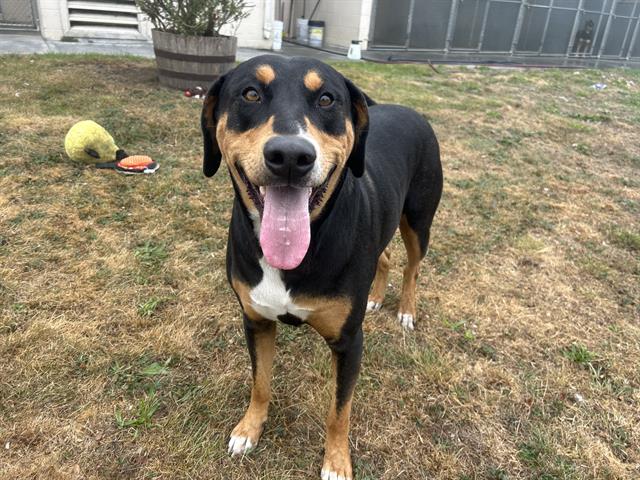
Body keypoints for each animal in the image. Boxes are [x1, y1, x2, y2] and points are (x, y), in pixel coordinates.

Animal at [200, 56, 440, 480]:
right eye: (250, 93)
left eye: (327, 99)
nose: (290, 156)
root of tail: (410, 111)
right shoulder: (255, 321)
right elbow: (260, 382)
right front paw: (249, 429)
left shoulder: (349, 342)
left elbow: (339, 411)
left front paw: (337, 462)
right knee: (385, 257)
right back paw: (376, 297)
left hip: (418, 219)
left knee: (412, 265)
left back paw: (407, 309)